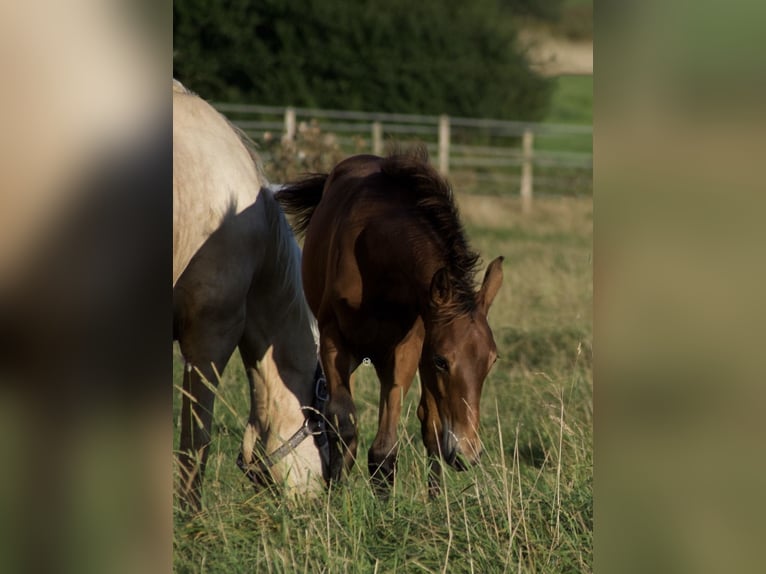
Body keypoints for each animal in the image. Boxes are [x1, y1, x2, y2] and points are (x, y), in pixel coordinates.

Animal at [276, 150, 504, 500]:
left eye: (491, 361)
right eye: (442, 360)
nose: (467, 454)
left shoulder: (406, 348)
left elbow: (386, 446)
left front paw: (385, 504)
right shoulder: (334, 340)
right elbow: (342, 421)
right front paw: (336, 496)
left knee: (431, 421)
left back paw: (436, 498)